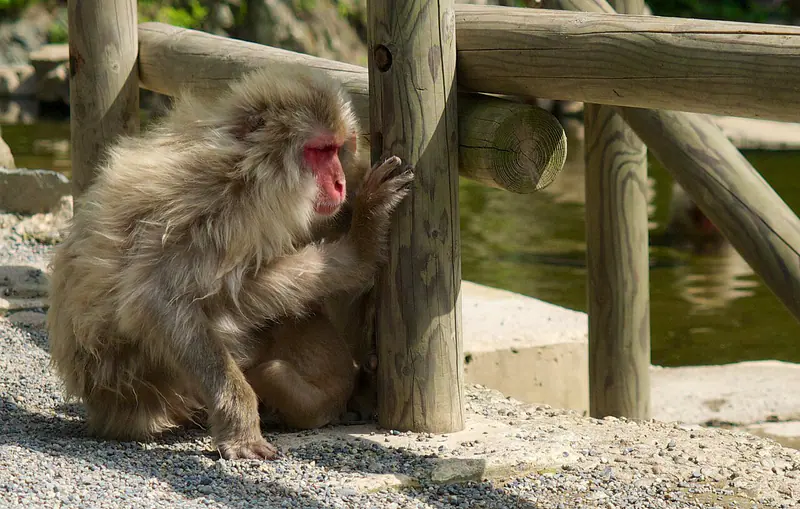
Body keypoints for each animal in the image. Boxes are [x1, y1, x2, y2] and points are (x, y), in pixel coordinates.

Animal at [46, 64, 414, 460]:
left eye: (337, 149)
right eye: (319, 151)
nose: (340, 183)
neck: (252, 168)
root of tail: (104, 407)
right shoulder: (217, 204)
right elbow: (157, 300)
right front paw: (240, 424)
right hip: (148, 380)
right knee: (229, 287)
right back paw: (359, 254)